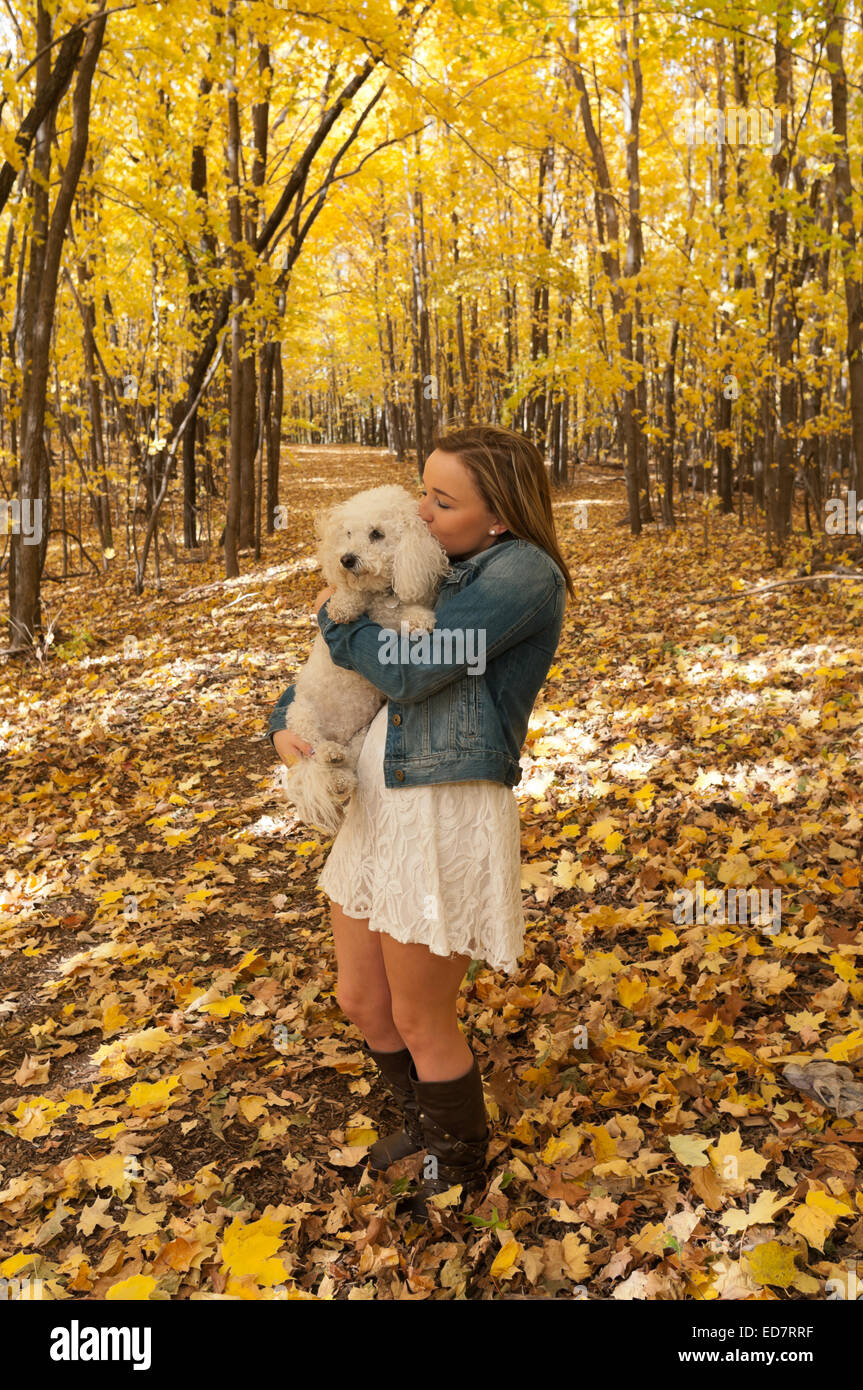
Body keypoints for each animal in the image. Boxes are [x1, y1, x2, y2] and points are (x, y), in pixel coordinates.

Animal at [276, 486, 450, 834]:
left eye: (376, 534)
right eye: (348, 534)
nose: (346, 558)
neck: (384, 599)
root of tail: (339, 737)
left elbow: (414, 609)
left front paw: (418, 619)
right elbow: (348, 594)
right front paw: (343, 605)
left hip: (358, 737)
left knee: (342, 767)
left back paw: (340, 779)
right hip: (302, 713)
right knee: (314, 751)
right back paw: (328, 755)